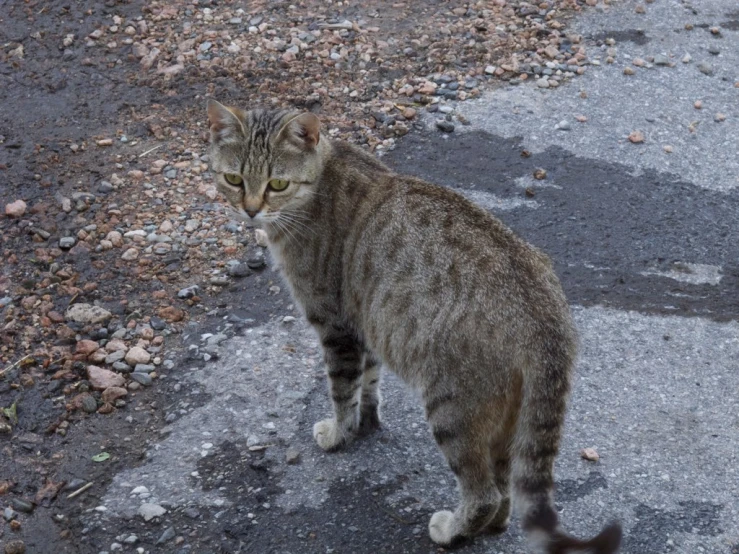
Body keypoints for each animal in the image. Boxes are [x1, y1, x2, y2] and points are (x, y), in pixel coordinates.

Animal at [205, 100, 620, 552]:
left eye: (277, 184)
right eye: (233, 178)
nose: (250, 209)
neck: (318, 186)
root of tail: (547, 318)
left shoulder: (336, 327)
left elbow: (342, 392)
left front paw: (339, 433)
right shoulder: (367, 321)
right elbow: (368, 381)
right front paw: (367, 421)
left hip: (452, 407)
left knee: (484, 493)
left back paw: (453, 530)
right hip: (506, 418)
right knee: (505, 484)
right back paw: (495, 525)